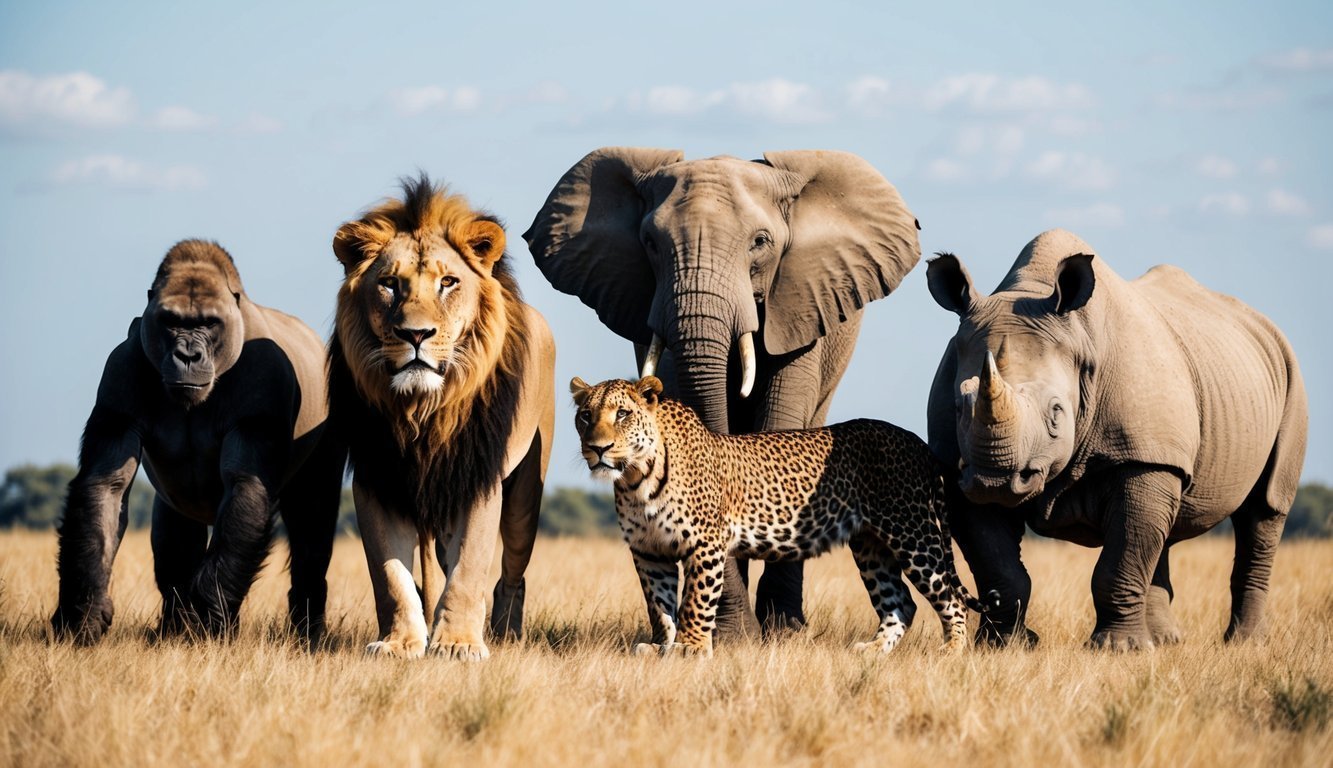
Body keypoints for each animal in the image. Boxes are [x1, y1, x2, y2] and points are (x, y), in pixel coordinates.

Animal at [330, 176, 554, 661]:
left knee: (511, 571)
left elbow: (469, 569)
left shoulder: (478, 477)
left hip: (525, 494)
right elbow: (390, 577)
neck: (422, 410)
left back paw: (506, 633)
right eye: (389, 284)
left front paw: (457, 645)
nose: (415, 334)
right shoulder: (377, 479)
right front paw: (399, 643)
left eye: (448, 282)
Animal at [525, 146, 922, 640]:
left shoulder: (802, 303)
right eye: (650, 243)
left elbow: (781, 420)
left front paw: (778, 632)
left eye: (761, 242)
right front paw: (731, 636)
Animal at [567, 376, 986, 656]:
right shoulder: (648, 551)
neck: (636, 478)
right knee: (900, 601)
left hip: (913, 534)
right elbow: (660, 604)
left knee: (951, 596)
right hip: (872, 546)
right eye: (585, 416)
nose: (597, 448)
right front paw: (662, 646)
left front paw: (691, 647)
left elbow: (695, 600)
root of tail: (916, 441)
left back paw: (952, 653)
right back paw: (872, 651)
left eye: (622, 414)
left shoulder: (705, 544)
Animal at [922, 230, 1306, 650]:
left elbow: (1119, 560)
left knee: (1264, 509)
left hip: (1289, 375)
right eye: (959, 407)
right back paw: (1166, 642)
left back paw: (1243, 644)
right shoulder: (957, 467)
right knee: (1162, 524)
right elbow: (998, 566)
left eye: (1056, 412)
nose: (994, 481)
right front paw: (1005, 646)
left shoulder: (1142, 454)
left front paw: (1117, 649)